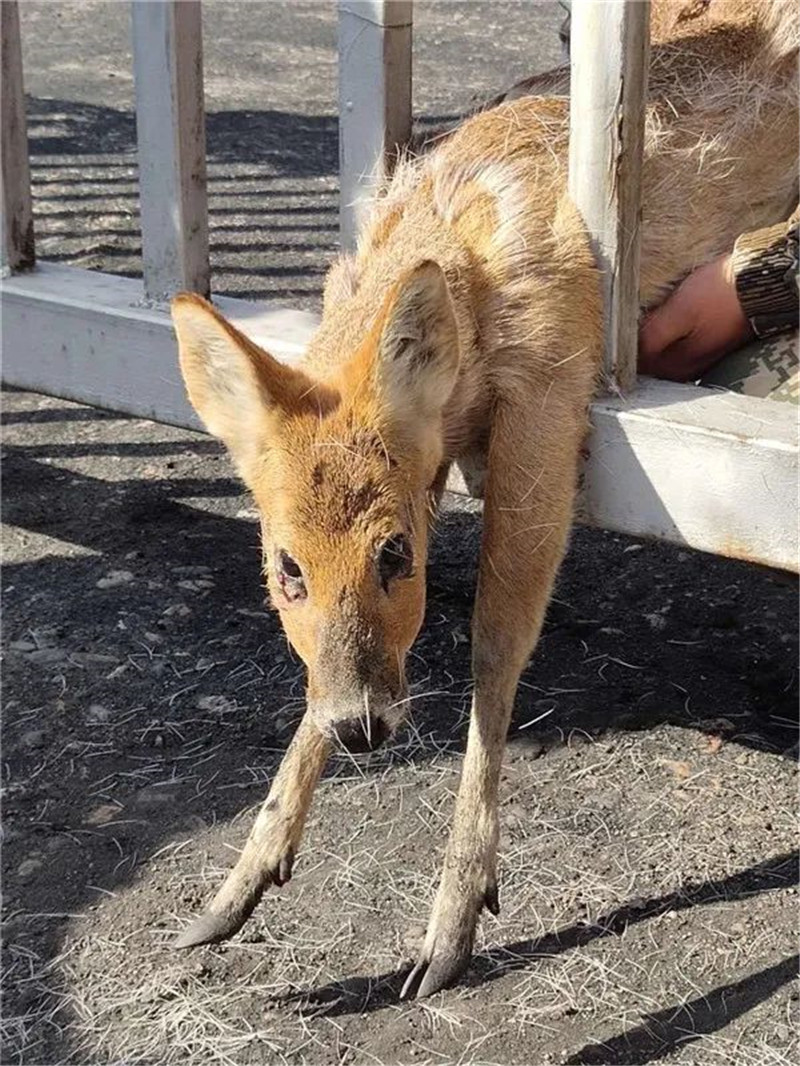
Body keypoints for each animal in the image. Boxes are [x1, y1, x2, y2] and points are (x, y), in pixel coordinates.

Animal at [169, 0, 797, 997]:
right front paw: (236, 887)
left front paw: (451, 926)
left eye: (395, 552)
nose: (364, 731)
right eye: (285, 568)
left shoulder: (549, 393)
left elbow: (496, 643)